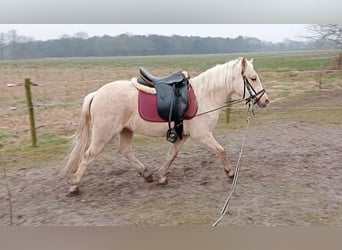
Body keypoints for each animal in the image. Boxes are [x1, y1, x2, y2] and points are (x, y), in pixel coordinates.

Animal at [61, 56, 270, 193]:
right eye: (253, 78)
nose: (265, 100)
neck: (205, 95)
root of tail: (96, 94)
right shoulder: (202, 134)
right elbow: (221, 150)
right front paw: (230, 173)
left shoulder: (183, 136)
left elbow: (171, 155)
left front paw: (162, 176)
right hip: (103, 134)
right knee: (88, 156)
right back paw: (75, 185)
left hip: (126, 130)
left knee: (126, 152)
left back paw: (146, 174)